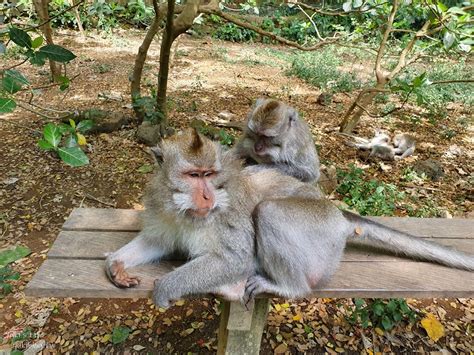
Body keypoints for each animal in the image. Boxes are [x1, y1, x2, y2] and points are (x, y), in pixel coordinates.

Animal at [106, 129, 474, 308]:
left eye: (209, 174)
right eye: (193, 175)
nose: (208, 196)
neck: (184, 210)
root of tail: (339, 214)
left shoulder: (224, 220)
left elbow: (236, 258)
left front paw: (165, 287)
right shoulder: (161, 208)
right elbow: (156, 241)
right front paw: (115, 265)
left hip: (320, 231)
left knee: (269, 212)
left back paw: (283, 287)